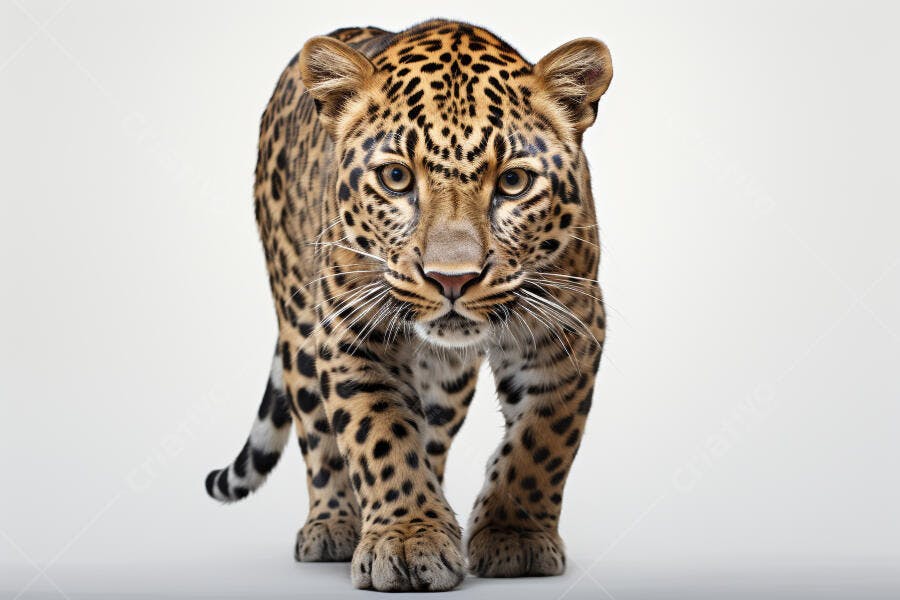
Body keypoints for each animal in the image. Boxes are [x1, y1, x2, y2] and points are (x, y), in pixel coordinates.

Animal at [205, 19, 612, 592]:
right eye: (396, 178)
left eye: (513, 182)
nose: (451, 279)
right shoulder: (349, 330)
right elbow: (379, 435)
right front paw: (405, 537)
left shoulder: (569, 329)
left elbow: (543, 440)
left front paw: (514, 535)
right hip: (298, 321)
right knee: (318, 431)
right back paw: (333, 525)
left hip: (448, 379)